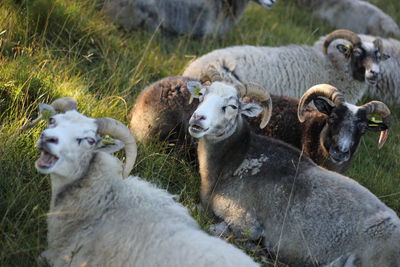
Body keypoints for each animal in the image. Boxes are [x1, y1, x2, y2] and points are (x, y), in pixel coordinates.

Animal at [186, 81, 400, 267]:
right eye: (201, 95)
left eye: (232, 106)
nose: (197, 119)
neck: (235, 160)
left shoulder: (245, 223)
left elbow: (216, 228)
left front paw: (260, 249)